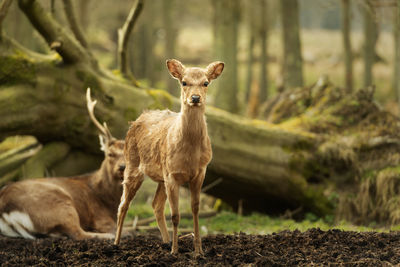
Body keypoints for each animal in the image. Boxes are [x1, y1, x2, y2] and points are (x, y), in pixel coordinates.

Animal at [0, 88, 125, 241]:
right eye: (110, 154)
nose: (122, 167)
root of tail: (5, 211)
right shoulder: (100, 217)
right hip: (59, 203)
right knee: (77, 232)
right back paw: (106, 236)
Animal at [114, 59, 223, 256]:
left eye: (206, 83)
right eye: (184, 82)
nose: (195, 98)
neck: (190, 153)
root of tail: (137, 119)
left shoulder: (200, 172)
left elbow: (195, 210)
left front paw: (199, 251)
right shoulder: (172, 174)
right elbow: (175, 214)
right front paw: (175, 251)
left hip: (160, 177)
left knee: (156, 205)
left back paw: (165, 242)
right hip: (132, 163)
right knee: (123, 204)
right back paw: (116, 244)